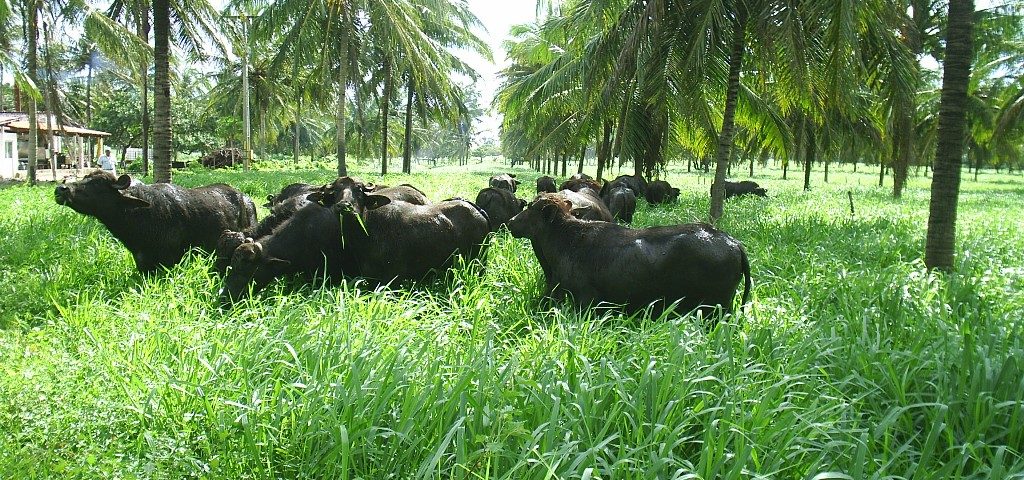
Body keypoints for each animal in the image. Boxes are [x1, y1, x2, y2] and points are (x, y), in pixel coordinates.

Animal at [507, 192, 749, 315]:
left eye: (531, 208)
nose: (510, 222)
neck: (566, 239)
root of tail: (733, 242)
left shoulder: (585, 300)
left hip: (716, 307)